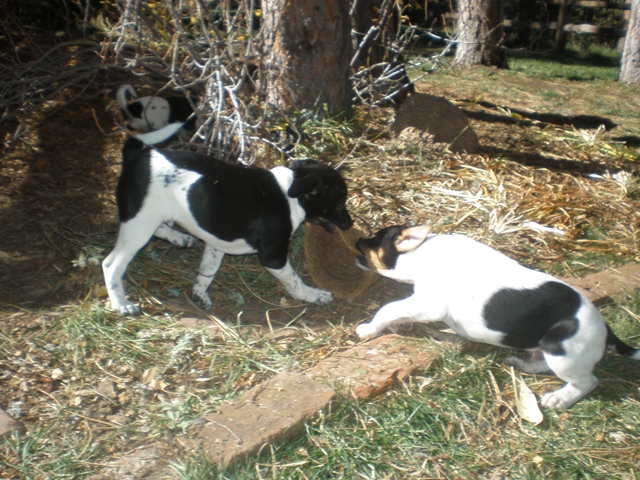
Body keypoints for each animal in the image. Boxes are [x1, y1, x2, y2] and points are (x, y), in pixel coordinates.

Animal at [105, 123, 356, 316]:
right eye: (339, 204)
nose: (350, 224)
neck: (291, 193)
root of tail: (137, 156)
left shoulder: (216, 244)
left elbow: (206, 272)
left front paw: (199, 295)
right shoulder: (273, 257)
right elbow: (294, 281)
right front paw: (314, 295)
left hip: (146, 218)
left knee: (158, 229)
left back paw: (180, 238)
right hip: (139, 223)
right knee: (111, 265)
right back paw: (122, 305)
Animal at [356, 225, 640, 408]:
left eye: (375, 239)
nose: (357, 239)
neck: (421, 253)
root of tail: (606, 331)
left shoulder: (429, 303)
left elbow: (388, 309)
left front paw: (368, 329)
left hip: (562, 348)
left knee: (587, 381)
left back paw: (559, 398)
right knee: (546, 363)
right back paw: (525, 364)